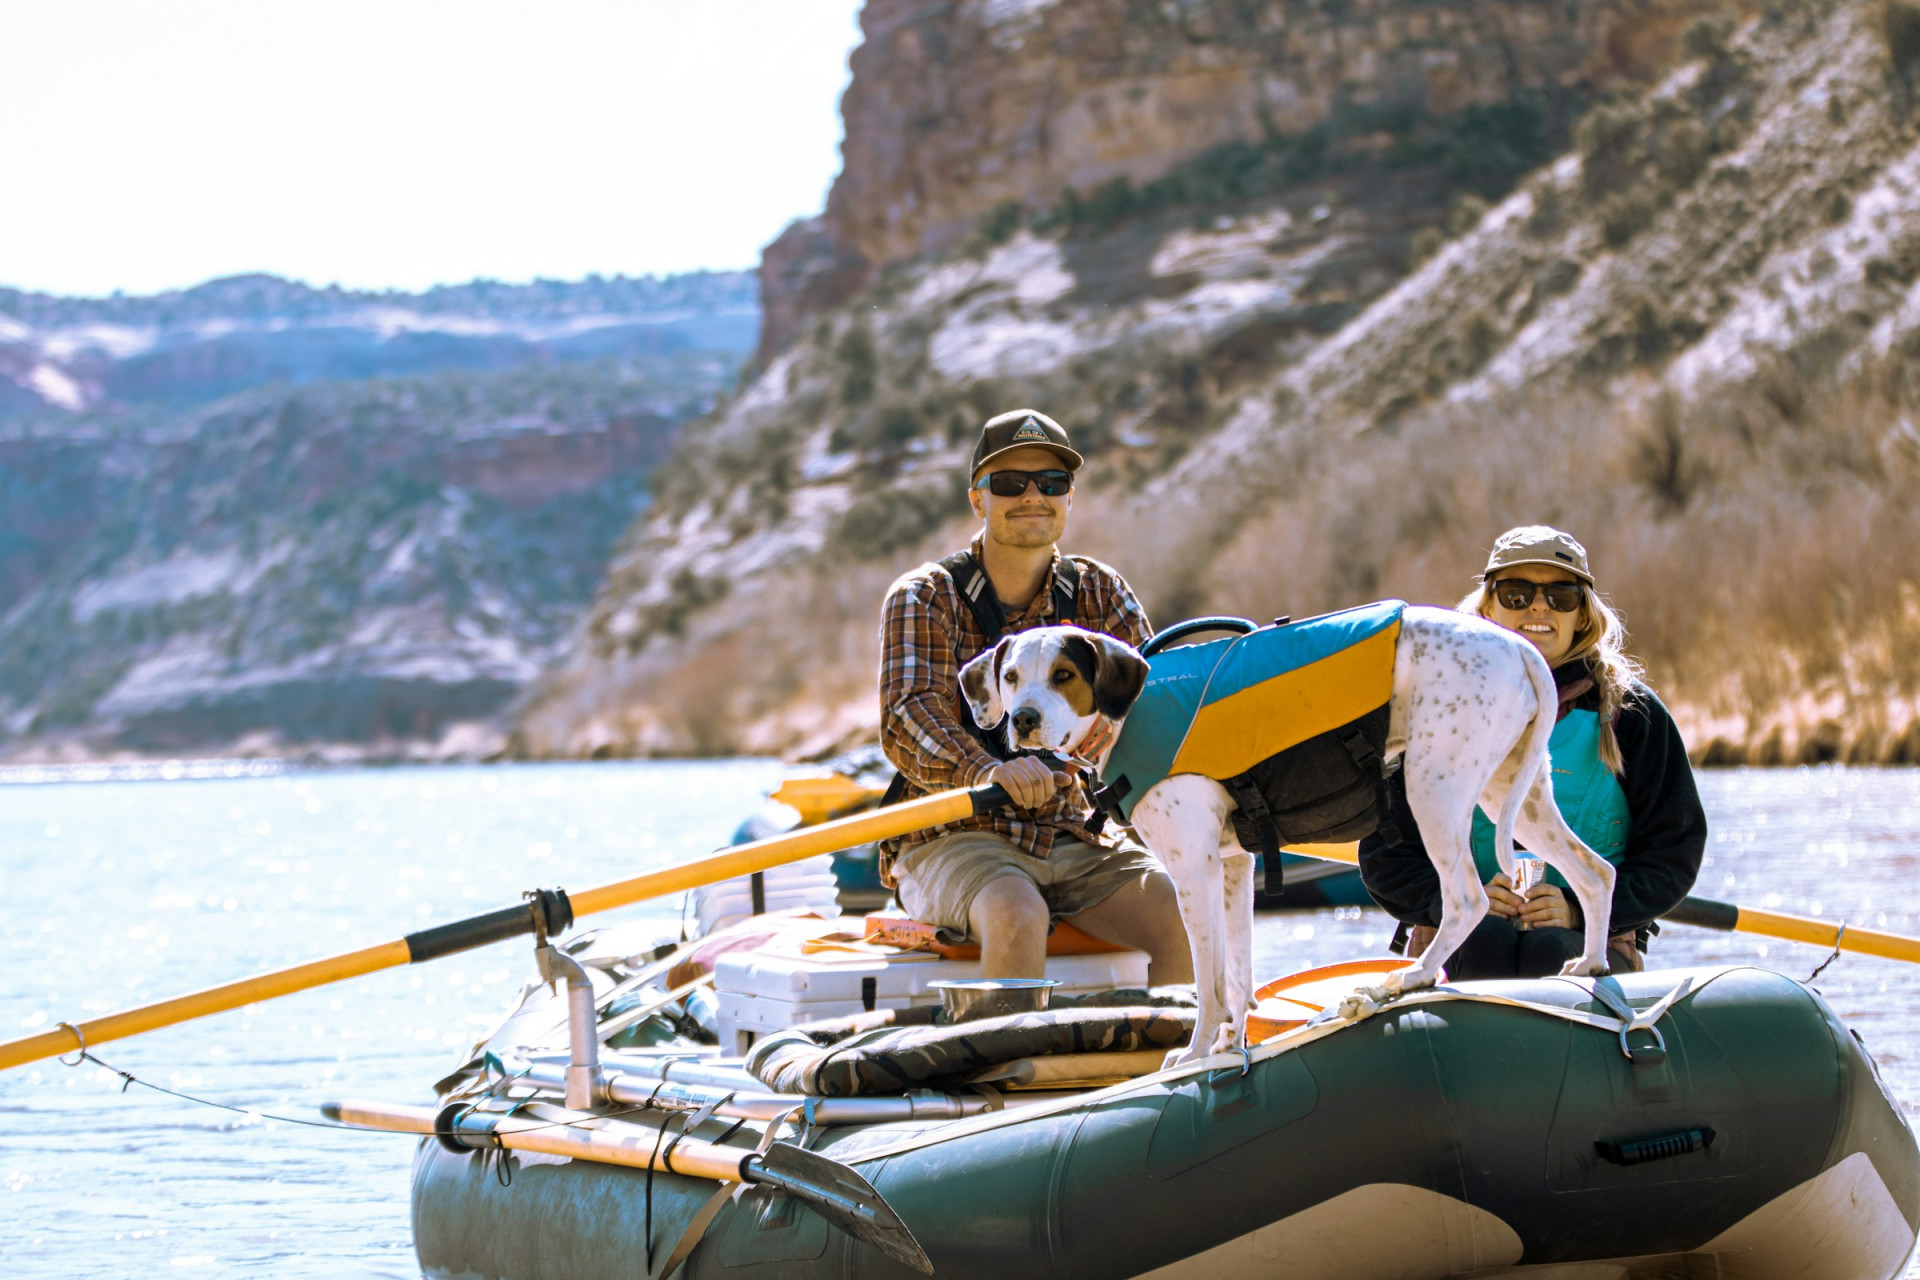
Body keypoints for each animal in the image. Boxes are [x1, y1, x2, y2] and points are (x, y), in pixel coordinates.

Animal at [960, 610, 1620, 1074]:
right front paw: (1229, 1045)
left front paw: (1195, 1052)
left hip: (1434, 787)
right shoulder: (1232, 868)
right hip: (1518, 795)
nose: (1023, 719)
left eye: (1064, 676)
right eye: (1011, 676)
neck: (1129, 715)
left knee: (1467, 899)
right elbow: (1238, 972)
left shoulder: (1194, 871)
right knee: (1596, 873)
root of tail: (1520, 647)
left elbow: (1209, 981)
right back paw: (1589, 963)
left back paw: (1409, 977)